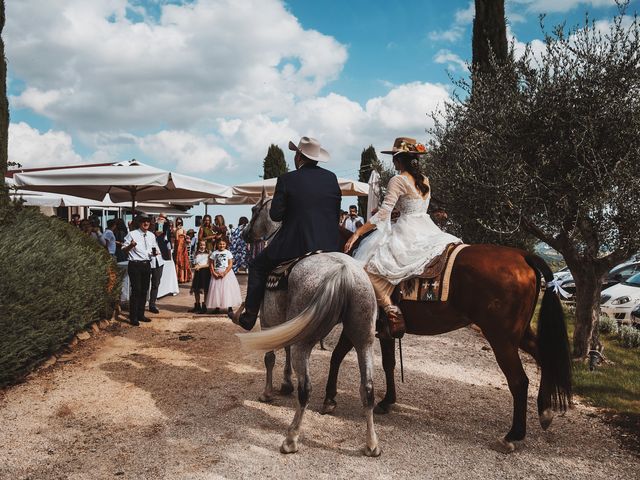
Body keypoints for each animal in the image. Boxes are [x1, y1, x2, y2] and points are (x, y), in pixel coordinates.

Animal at [236, 193, 380, 456]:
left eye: (253, 210)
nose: (245, 234)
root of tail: (344, 270)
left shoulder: (269, 323)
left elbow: (270, 358)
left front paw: (268, 392)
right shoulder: (288, 326)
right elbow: (285, 351)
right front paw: (285, 383)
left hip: (305, 342)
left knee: (307, 390)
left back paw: (291, 439)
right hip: (363, 339)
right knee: (368, 389)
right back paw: (372, 444)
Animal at [322, 246, 572, 452]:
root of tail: (523, 255)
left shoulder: (357, 324)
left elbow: (336, 356)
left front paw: (329, 398)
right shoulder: (385, 331)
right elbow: (388, 364)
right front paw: (387, 401)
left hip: (501, 339)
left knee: (519, 381)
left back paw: (512, 435)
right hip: (519, 336)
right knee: (545, 359)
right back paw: (545, 411)